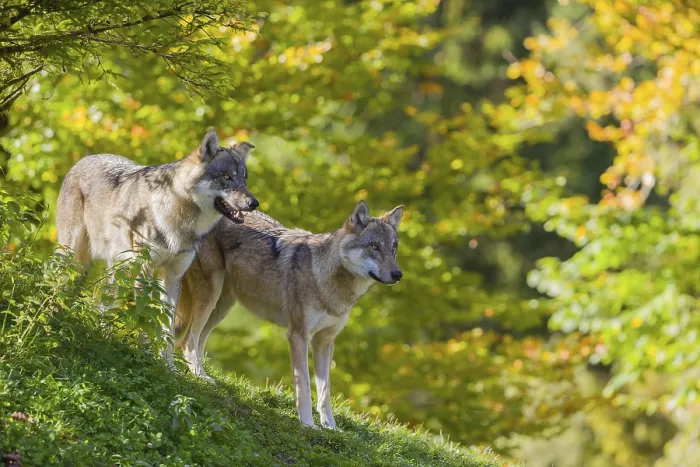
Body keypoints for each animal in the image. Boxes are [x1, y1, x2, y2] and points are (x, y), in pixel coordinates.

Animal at [55, 130, 258, 366]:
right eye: (227, 177)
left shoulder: (173, 276)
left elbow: (167, 329)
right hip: (73, 254)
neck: (178, 219)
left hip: (118, 271)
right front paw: (144, 354)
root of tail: (84, 159)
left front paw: (168, 366)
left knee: (103, 302)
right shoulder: (145, 272)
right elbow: (145, 317)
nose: (254, 203)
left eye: (244, 178)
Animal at [176, 200, 403, 428]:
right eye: (374, 246)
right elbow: (304, 386)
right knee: (187, 340)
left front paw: (331, 426)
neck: (329, 282)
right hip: (210, 296)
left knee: (198, 340)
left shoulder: (325, 341)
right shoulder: (298, 336)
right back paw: (200, 375)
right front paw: (308, 424)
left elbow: (325, 391)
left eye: (393, 248)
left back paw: (201, 373)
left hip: (221, 308)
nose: (398, 274)